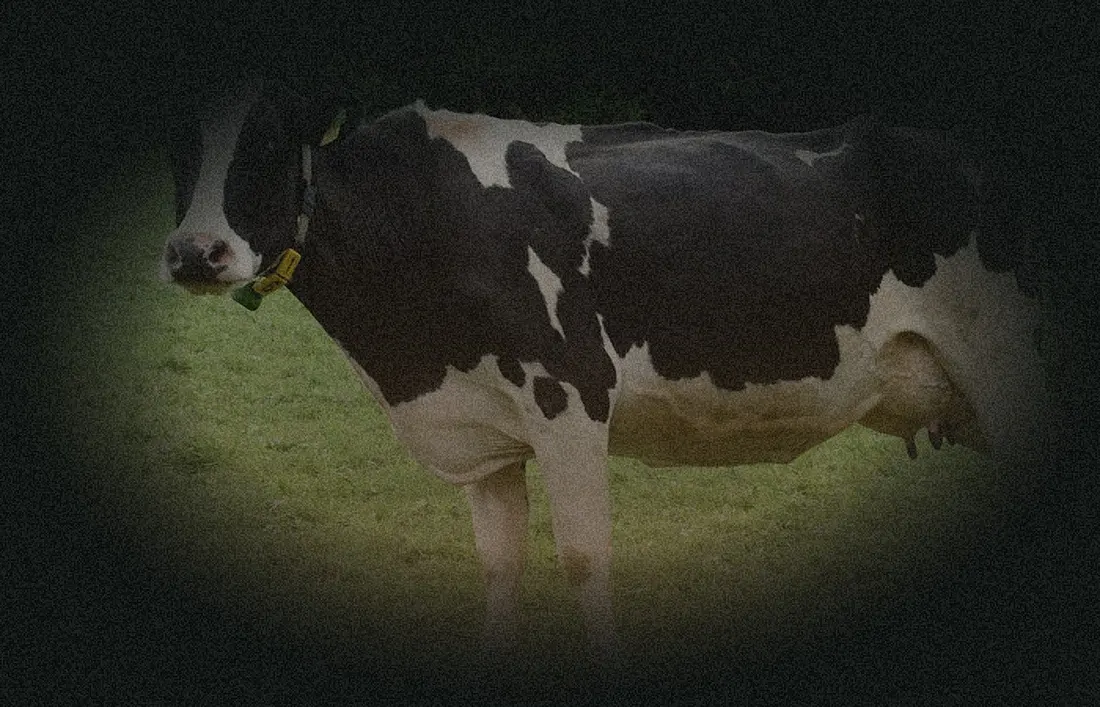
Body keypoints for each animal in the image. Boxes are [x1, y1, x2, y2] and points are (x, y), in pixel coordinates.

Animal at [161, 80, 1050, 657]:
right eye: (179, 151)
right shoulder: (483, 429)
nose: (195, 253)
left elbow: (584, 559)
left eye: (268, 144)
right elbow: (501, 565)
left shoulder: (569, 391)